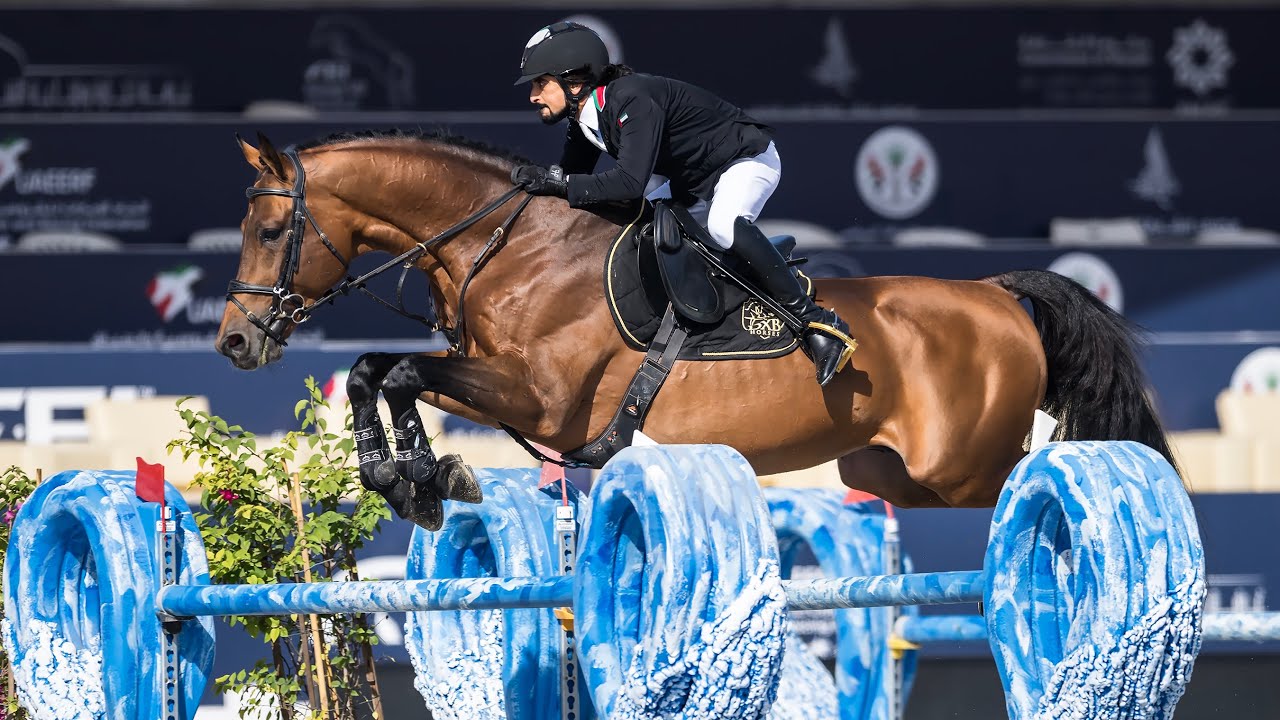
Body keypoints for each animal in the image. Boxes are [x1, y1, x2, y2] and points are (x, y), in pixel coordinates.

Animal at [217, 129, 1177, 530]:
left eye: (269, 228)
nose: (234, 343)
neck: (511, 246)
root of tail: (998, 294)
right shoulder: (499, 383)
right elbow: (373, 370)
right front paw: (404, 479)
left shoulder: (539, 399)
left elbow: (403, 374)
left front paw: (427, 475)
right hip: (893, 474)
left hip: (964, 465)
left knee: (1036, 468)